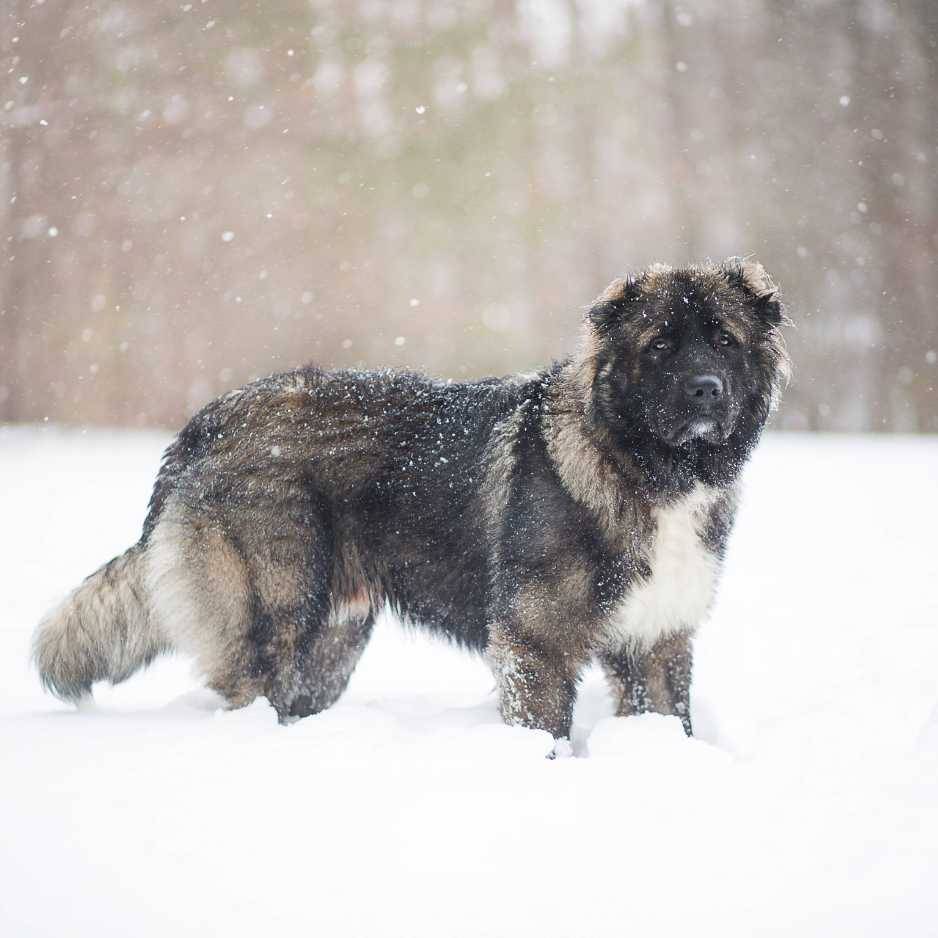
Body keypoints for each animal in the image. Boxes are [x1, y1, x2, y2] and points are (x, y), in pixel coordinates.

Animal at [33, 256, 788, 740]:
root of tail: (202, 425)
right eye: (660, 345)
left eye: (725, 341)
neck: (644, 465)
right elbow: (545, 731)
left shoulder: (658, 641)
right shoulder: (536, 643)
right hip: (275, 617)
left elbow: (671, 721)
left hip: (332, 644)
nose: (705, 391)